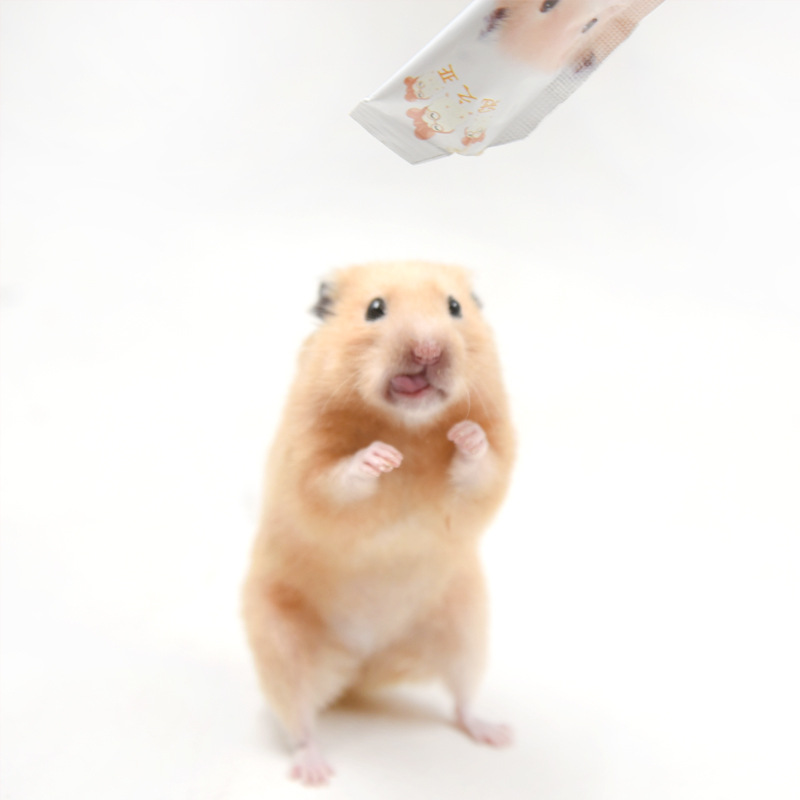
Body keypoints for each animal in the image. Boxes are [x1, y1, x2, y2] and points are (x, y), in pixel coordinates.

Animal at [242, 261, 515, 786]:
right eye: (374, 309)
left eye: (455, 307)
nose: (428, 349)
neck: (407, 423)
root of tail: (363, 669)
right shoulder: (306, 467)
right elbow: (338, 478)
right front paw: (382, 457)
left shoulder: (495, 465)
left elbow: (480, 463)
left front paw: (463, 434)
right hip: (281, 645)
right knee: (298, 719)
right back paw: (315, 771)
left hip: (464, 629)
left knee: (463, 700)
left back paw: (497, 734)